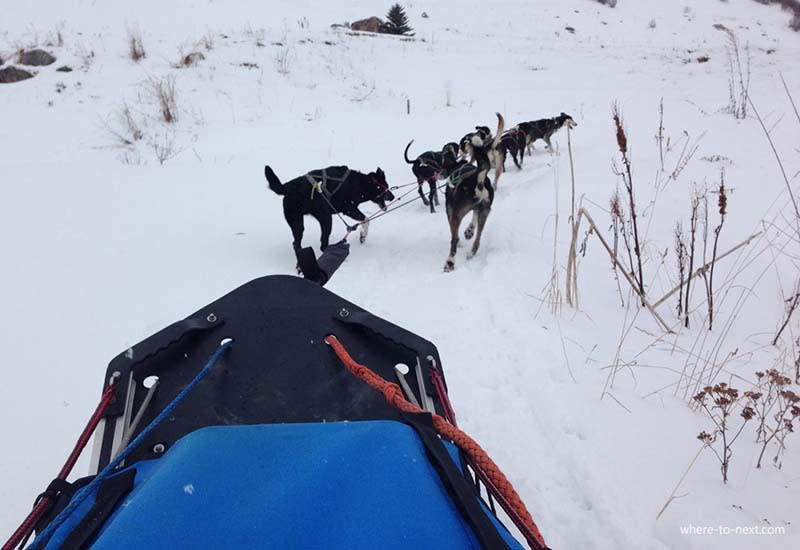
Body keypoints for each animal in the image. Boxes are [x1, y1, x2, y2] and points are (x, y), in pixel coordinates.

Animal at [266, 166, 394, 254]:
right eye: (385, 187)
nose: (393, 196)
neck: (361, 184)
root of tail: (287, 187)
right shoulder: (349, 209)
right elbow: (366, 220)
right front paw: (363, 236)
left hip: (297, 221)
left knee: (296, 243)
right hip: (326, 219)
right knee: (323, 244)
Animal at [440, 113, 504, 274]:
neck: (456, 165)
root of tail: (478, 180)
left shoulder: (450, 211)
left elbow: (454, 234)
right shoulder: (478, 209)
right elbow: (473, 220)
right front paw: (469, 230)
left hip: (457, 214)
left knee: (454, 241)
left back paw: (450, 262)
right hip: (485, 212)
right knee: (478, 239)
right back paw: (471, 251)